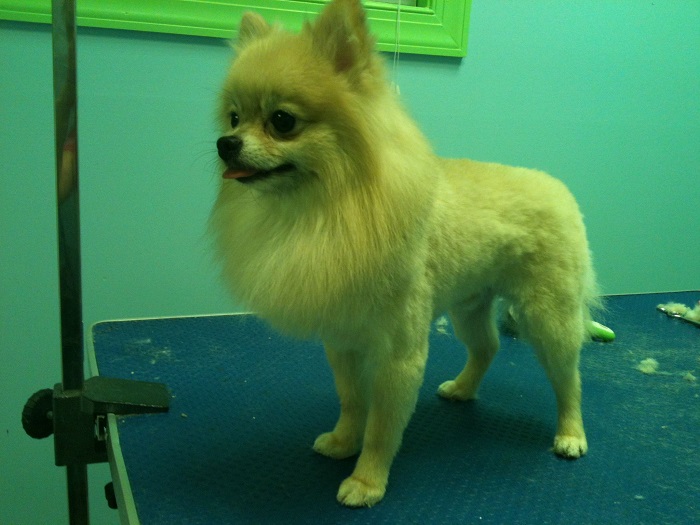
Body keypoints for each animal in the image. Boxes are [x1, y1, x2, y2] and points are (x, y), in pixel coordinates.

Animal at [208, 0, 596, 506]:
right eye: (234, 118)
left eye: (282, 121)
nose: (225, 144)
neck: (328, 211)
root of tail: (558, 188)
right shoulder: (343, 342)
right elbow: (353, 403)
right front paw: (342, 441)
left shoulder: (398, 355)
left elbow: (381, 426)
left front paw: (367, 480)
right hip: (470, 305)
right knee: (487, 346)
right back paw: (463, 389)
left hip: (547, 316)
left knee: (568, 377)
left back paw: (570, 433)